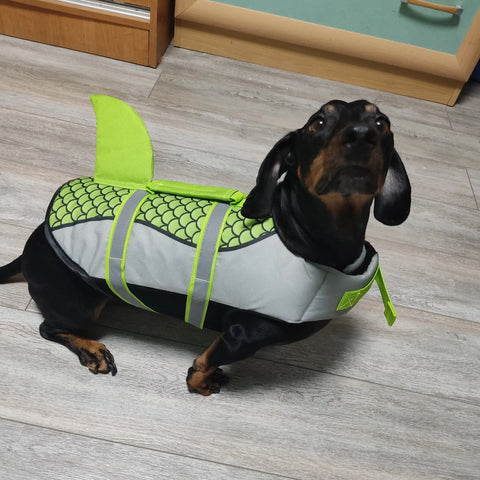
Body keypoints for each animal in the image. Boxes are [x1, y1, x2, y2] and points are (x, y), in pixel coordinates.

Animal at [1, 100, 410, 394]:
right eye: (318, 123)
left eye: (381, 122)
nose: (362, 135)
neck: (305, 237)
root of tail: (33, 244)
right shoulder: (241, 335)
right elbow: (205, 363)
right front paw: (201, 383)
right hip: (83, 303)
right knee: (49, 328)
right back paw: (92, 350)